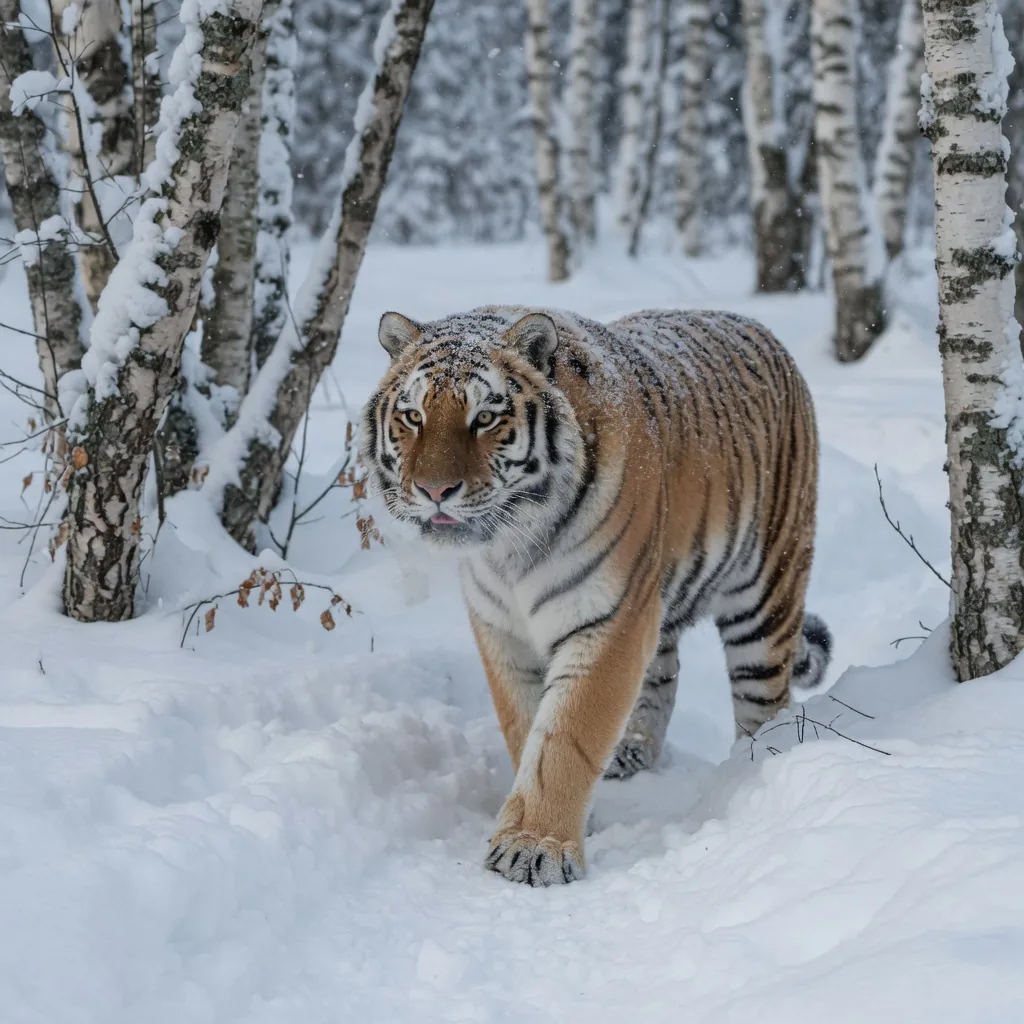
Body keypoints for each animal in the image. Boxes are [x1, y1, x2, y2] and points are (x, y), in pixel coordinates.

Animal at [361, 305, 831, 887]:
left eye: (485, 418)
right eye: (413, 417)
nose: (434, 491)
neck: (509, 547)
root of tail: (757, 328)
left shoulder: (608, 621)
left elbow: (566, 736)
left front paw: (533, 848)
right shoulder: (502, 629)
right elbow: (526, 729)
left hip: (765, 596)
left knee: (764, 702)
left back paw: (755, 772)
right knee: (663, 676)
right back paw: (633, 751)